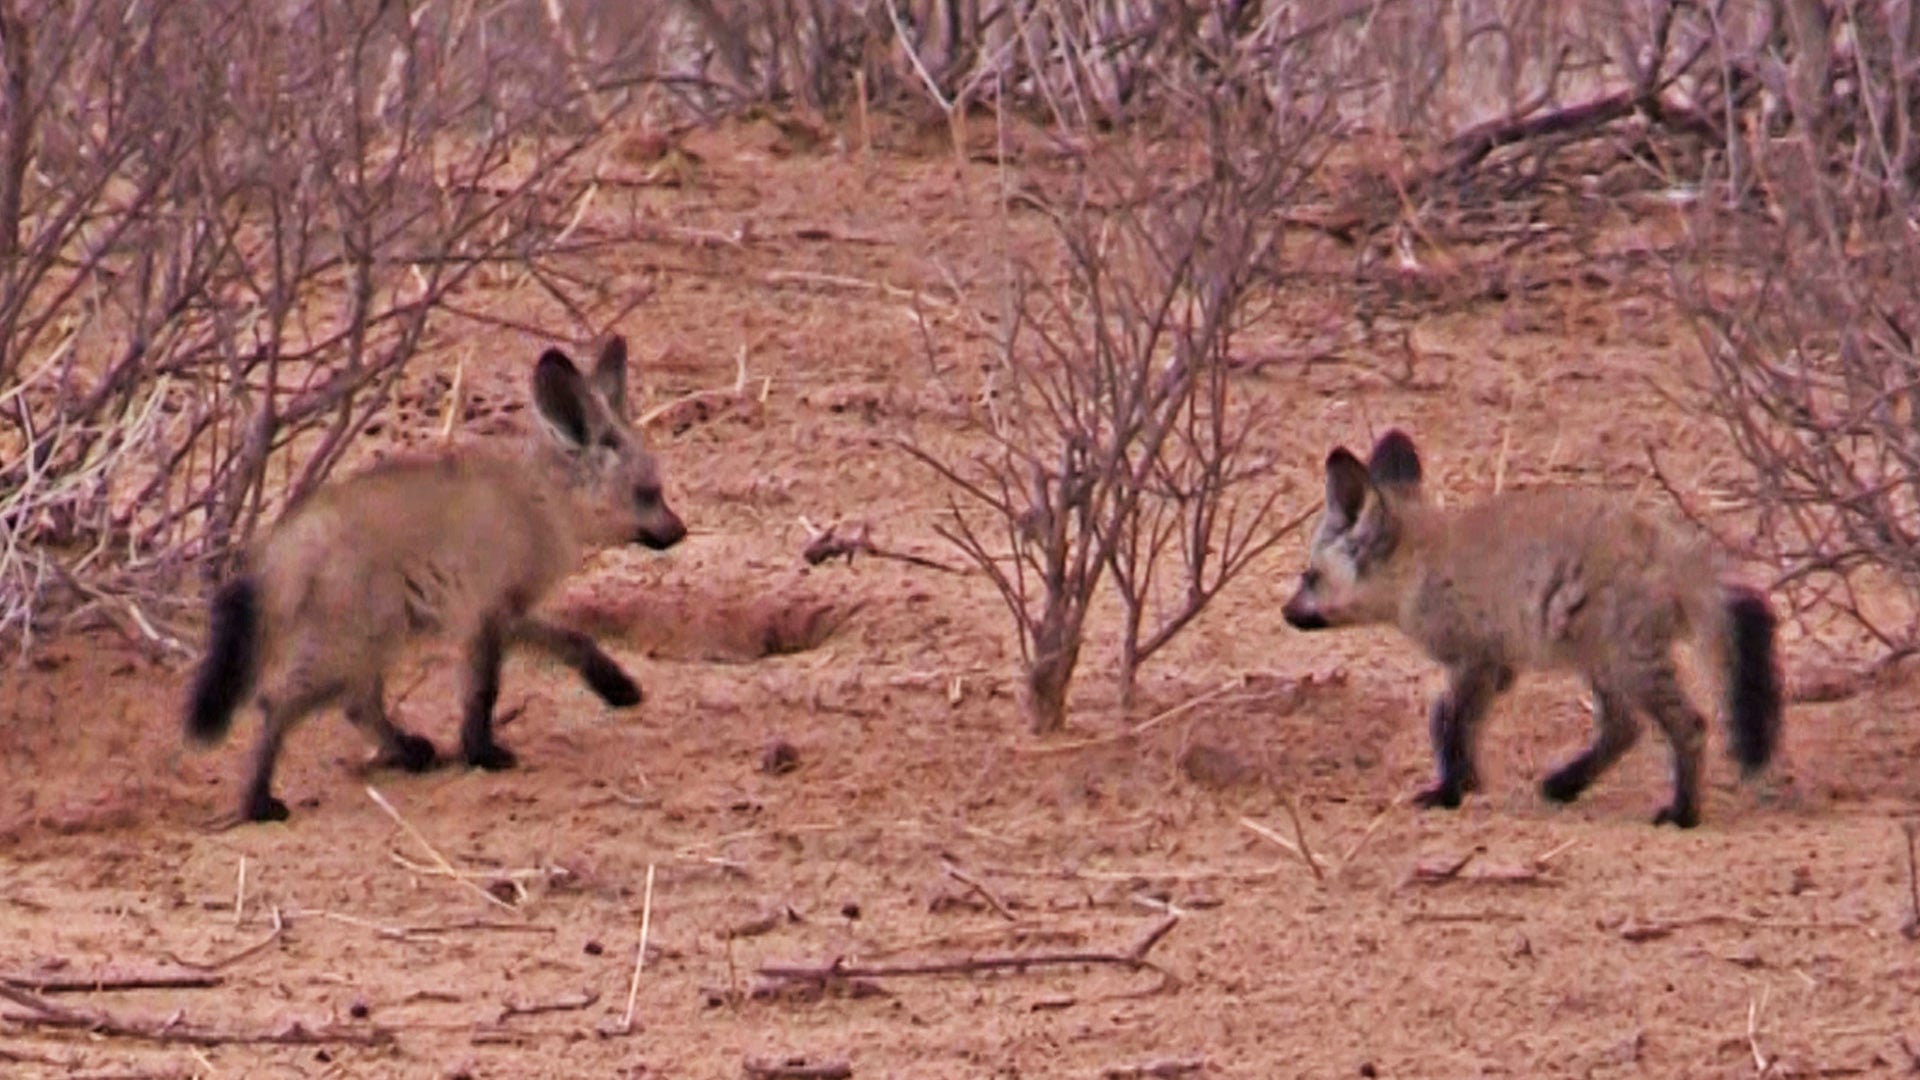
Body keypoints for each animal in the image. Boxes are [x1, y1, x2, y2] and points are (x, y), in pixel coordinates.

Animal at [182, 335, 687, 824]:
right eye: (649, 493)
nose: (681, 531)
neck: (544, 504)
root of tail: (282, 543)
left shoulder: (505, 613)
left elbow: (575, 641)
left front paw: (613, 685)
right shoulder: (489, 613)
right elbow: (483, 693)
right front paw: (481, 752)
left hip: (368, 644)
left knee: (356, 703)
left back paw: (406, 752)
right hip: (358, 642)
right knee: (277, 703)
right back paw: (256, 803)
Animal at [1280, 429, 1782, 828]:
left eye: (1309, 577)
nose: (1286, 613)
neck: (1421, 562)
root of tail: (1678, 554)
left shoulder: (1476, 660)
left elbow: (1449, 721)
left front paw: (1449, 791)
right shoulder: (1496, 668)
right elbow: (1456, 724)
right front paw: (1464, 782)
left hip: (1627, 662)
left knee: (1688, 725)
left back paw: (1683, 813)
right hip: (1602, 661)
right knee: (1624, 728)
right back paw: (1565, 784)